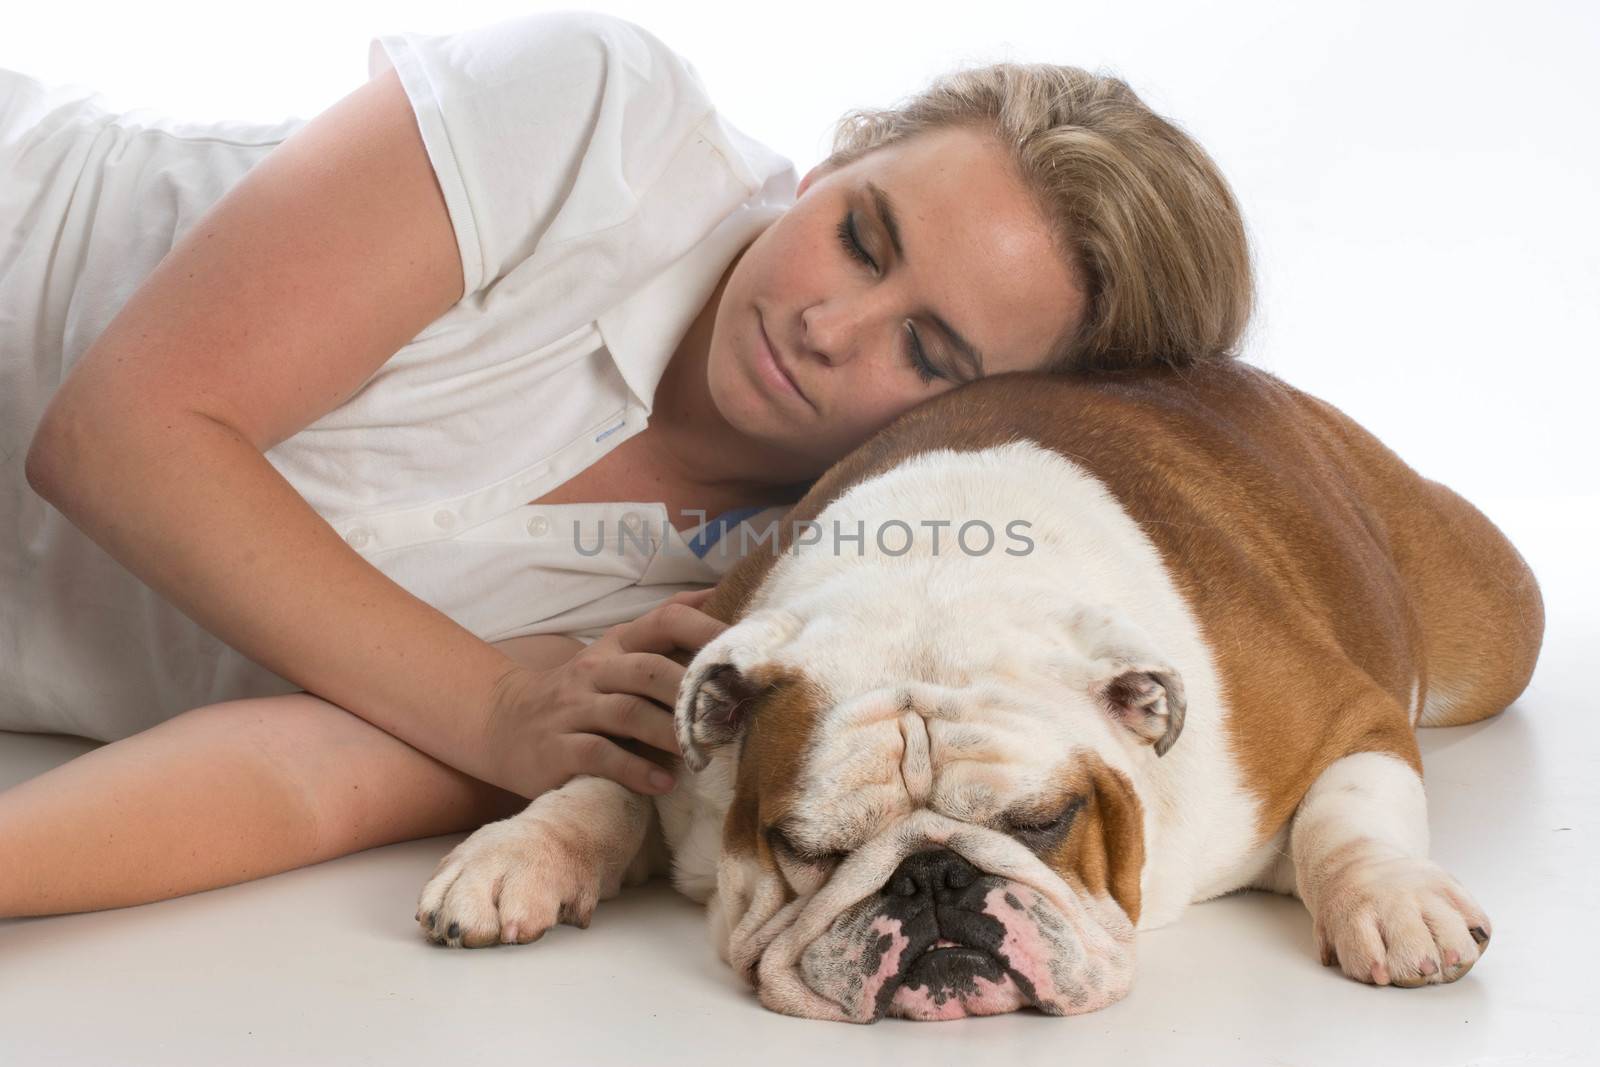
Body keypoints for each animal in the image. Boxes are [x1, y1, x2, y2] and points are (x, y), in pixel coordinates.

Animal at [412, 361, 1536, 1023]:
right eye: (806, 847)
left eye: (1045, 821)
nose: (933, 877)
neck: (938, 579)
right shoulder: (674, 692)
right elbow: (599, 785)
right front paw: (512, 857)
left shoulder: (1345, 720)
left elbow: (1352, 813)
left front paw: (1394, 902)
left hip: (1488, 627)